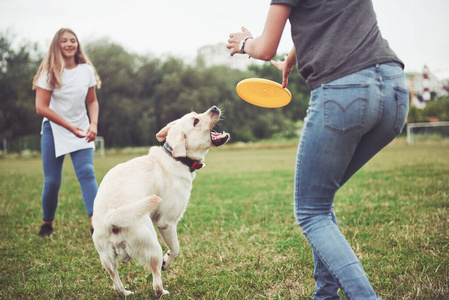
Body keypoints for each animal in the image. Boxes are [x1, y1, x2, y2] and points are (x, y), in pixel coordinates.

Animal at [92, 106, 229, 296]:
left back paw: (126, 293)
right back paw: (163, 291)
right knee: (156, 283)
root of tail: (111, 219)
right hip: (153, 247)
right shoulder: (167, 223)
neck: (175, 157)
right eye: (196, 121)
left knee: (116, 284)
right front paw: (167, 262)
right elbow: (176, 249)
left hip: (107, 260)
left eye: (196, 115)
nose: (214, 108)